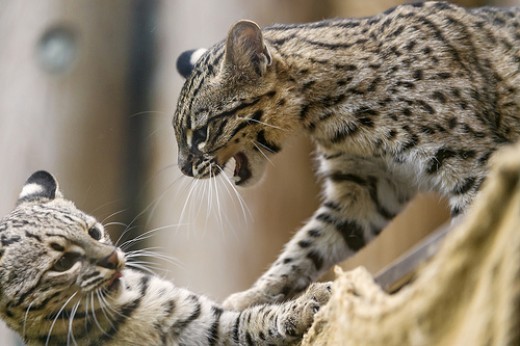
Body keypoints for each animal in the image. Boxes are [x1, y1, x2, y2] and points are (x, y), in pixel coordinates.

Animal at [0, 171, 332, 346]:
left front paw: (308, 301)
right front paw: (309, 302)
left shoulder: (207, 324)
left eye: (94, 232)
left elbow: (251, 320)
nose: (113, 259)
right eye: (63, 264)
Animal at [174, 0, 520, 310]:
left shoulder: (470, 162)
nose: (183, 168)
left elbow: (472, 225)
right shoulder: (363, 187)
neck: (328, 118)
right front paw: (254, 296)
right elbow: (308, 242)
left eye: (201, 133)